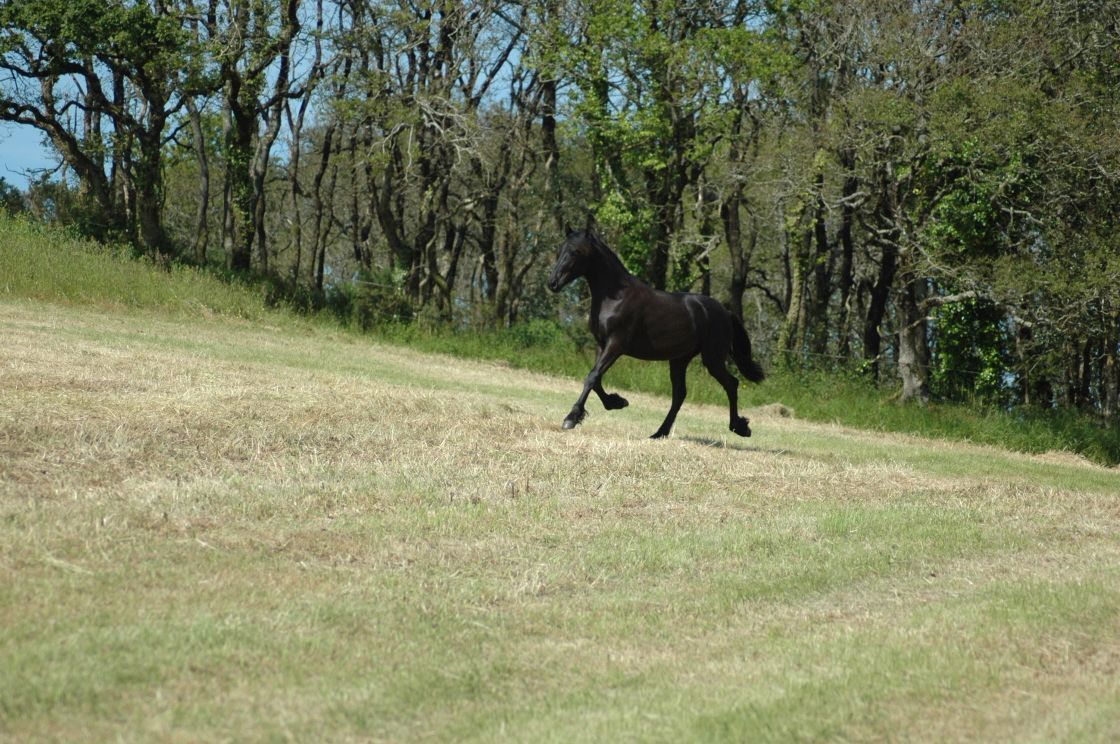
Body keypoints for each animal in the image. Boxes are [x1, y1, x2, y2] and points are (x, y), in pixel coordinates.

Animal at [547, 229, 765, 439]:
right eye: (560, 250)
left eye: (576, 251)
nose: (552, 283)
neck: (616, 297)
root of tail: (725, 312)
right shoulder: (602, 345)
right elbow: (596, 378)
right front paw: (617, 402)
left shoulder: (616, 345)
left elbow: (592, 377)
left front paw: (571, 418)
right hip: (679, 360)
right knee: (680, 395)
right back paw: (660, 432)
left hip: (713, 358)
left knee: (731, 384)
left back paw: (740, 427)